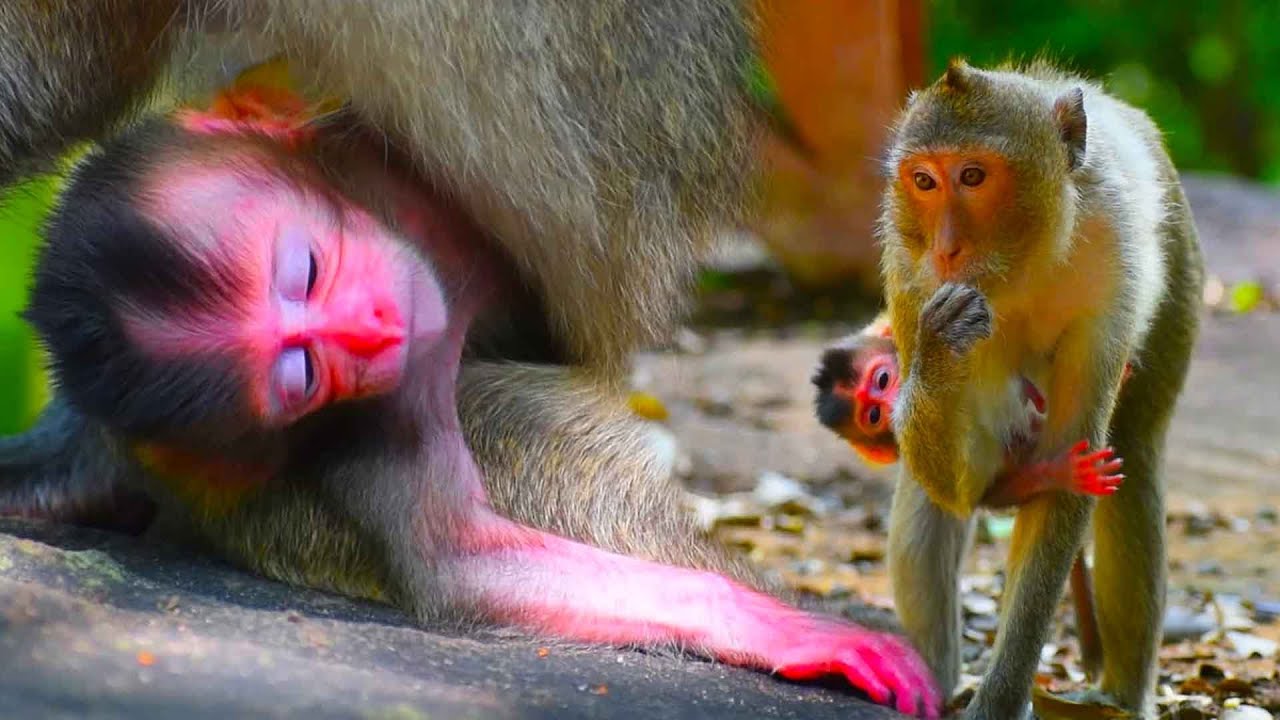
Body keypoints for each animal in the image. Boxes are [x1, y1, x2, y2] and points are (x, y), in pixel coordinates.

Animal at [1, 94, 942, 717]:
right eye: (302, 371)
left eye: (305, 268)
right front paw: (778, 625)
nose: (373, 326)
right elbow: (459, 561)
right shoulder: (391, 401)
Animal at [876, 59, 1203, 719]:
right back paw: (933, 679)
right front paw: (940, 348)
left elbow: (1072, 458)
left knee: (1133, 455)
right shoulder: (908, 271)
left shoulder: (1115, 266)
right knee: (929, 488)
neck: (1021, 262)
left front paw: (1000, 699)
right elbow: (962, 485)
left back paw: (1120, 695)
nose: (946, 248)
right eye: (924, 181)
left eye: (973, 176)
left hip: (1180, 269)